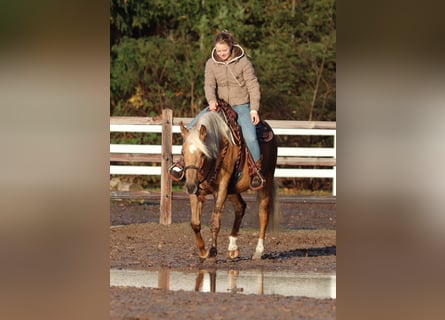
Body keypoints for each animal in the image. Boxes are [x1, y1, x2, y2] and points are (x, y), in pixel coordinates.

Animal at [178, 106, 276, 262]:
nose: (190, 186)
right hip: (232, 190)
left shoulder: (222, 188)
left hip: (265, 184)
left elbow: (215, 222)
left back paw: (258, 251)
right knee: (240, 207)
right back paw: (232, 248)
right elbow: (195, 223)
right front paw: (202, 251)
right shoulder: (197, 191)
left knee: (263, 214)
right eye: (182, 152)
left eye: (202, 154)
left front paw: (212, 252)